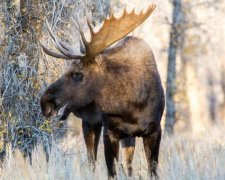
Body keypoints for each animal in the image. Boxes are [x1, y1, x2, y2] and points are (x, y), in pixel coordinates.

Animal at [40, 3, 164, 179]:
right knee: (91, 161)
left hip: (127, 136)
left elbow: (151, 170)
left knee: (128, 165)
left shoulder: (154, 130)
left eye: (77, 74)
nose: (45, 101)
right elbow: (111, 171)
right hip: (90, 123)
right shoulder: (110, 131)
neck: (131, 106)